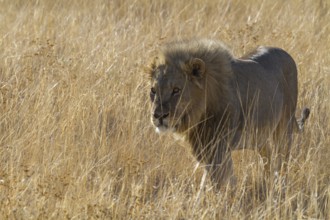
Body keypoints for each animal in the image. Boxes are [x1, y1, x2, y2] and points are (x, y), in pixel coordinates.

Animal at [147, 39, 310, 187]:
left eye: (176, 90)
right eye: (153, 90)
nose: (158, 116)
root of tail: (285, 53)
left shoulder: (219, 148)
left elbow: (221, 184)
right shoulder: (205, 148)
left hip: (284, 127)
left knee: (282, 160)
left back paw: (280, 184)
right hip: (259, 135)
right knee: (267, 155)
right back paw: (268, 182)